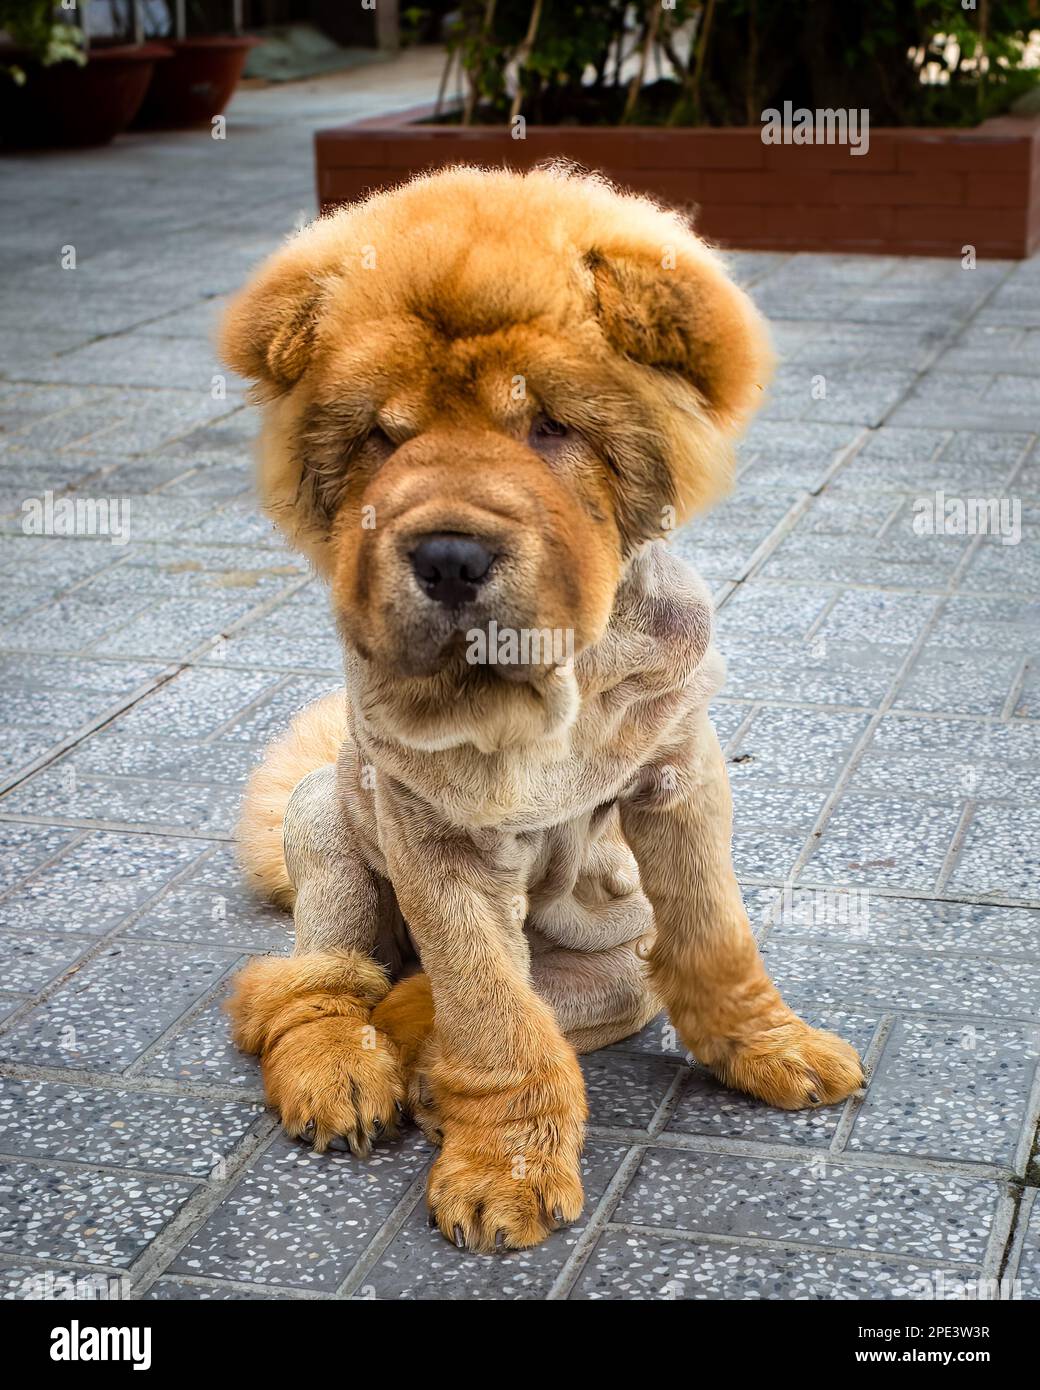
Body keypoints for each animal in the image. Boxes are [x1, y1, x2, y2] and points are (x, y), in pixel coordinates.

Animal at [223, 162, 867, 1251]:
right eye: (384, 439)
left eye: (548, 427)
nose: (447, 555)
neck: (546, 686)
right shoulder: (433, 831)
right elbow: (490, 1011)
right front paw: (505, 1172)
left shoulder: (679, 775)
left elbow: (714, 938)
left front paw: (769, 1046)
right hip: (325, 823)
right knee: (312, 988)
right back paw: (344, 1075)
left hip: (613, 975)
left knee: (441, 1009)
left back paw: (420, 1066)